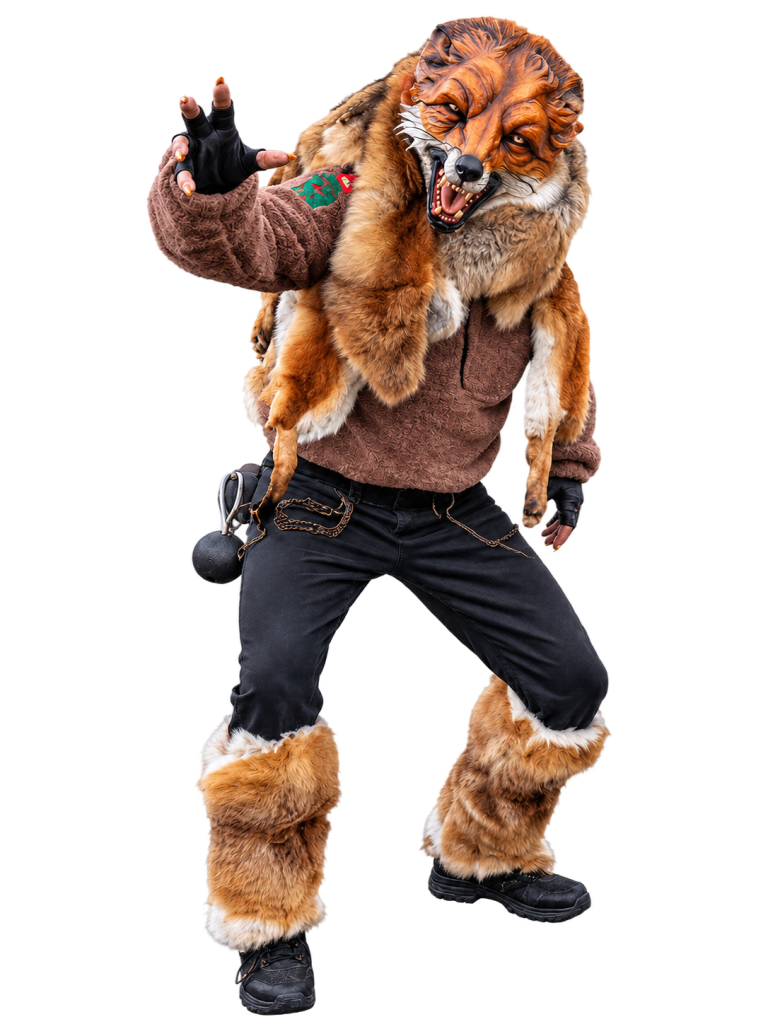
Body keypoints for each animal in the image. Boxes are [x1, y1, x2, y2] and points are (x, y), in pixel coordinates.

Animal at [241, 15, 593, 535]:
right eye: (452, 110)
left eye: (517, 140)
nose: (467, 167)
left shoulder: (551, 281)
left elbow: (549, 411)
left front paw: (550, 490)